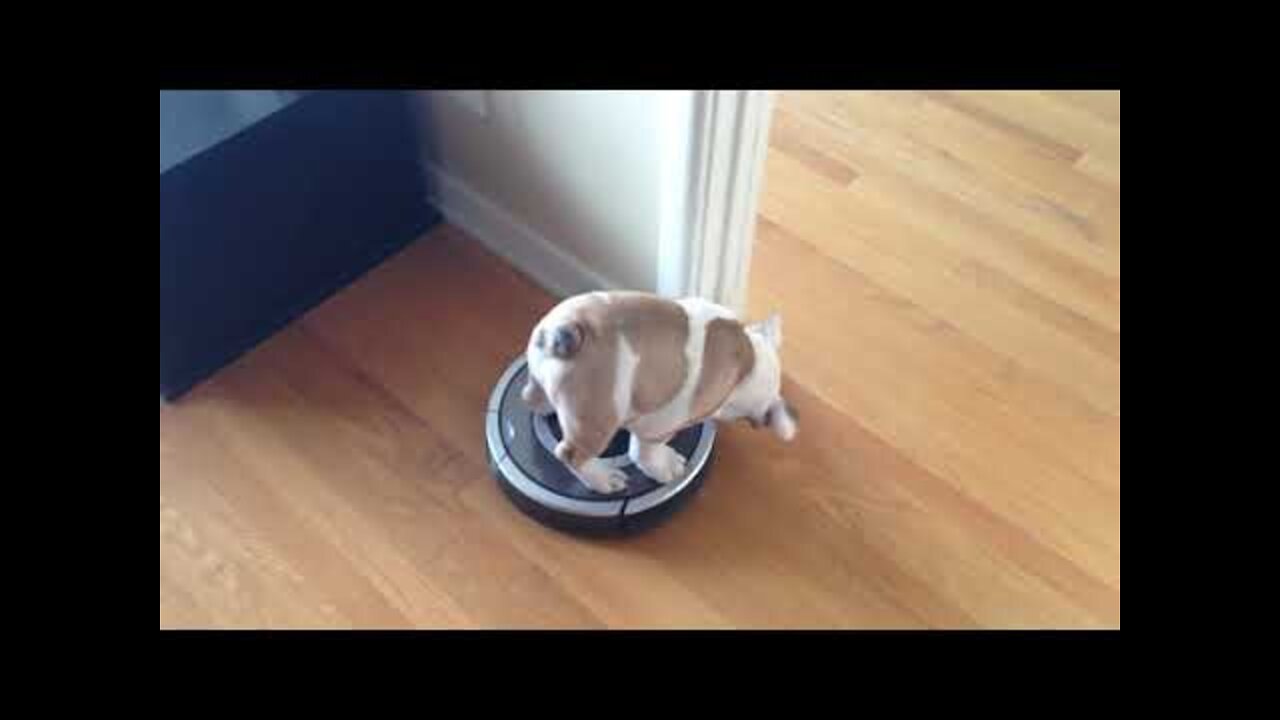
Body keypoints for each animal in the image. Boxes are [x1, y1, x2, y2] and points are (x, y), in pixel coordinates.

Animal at [522, 286, 798, 491]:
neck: (750, 362)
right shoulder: (660, 424)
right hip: (598, 420)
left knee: (530, 397)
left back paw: (545, 406)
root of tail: (566, 329)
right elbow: (644, 452)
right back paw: (602, 478)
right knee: (570, 454)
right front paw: (664, 466)